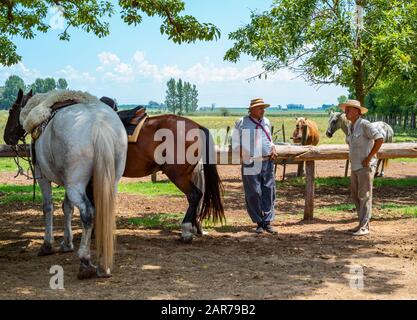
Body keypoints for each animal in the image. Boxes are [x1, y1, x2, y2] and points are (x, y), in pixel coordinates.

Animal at [3, 89, 127, 278]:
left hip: (75, 184)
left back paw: (85, 262)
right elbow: (67, 207)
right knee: (104, 211)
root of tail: (98, 123)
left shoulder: (42, 176)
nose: (6, 137)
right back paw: (103, 264)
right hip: (106, 182)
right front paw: (67, 243)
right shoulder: (68, 181)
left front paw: (47, 245)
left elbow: (48, 206)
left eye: (11, 111)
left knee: (88, 213)